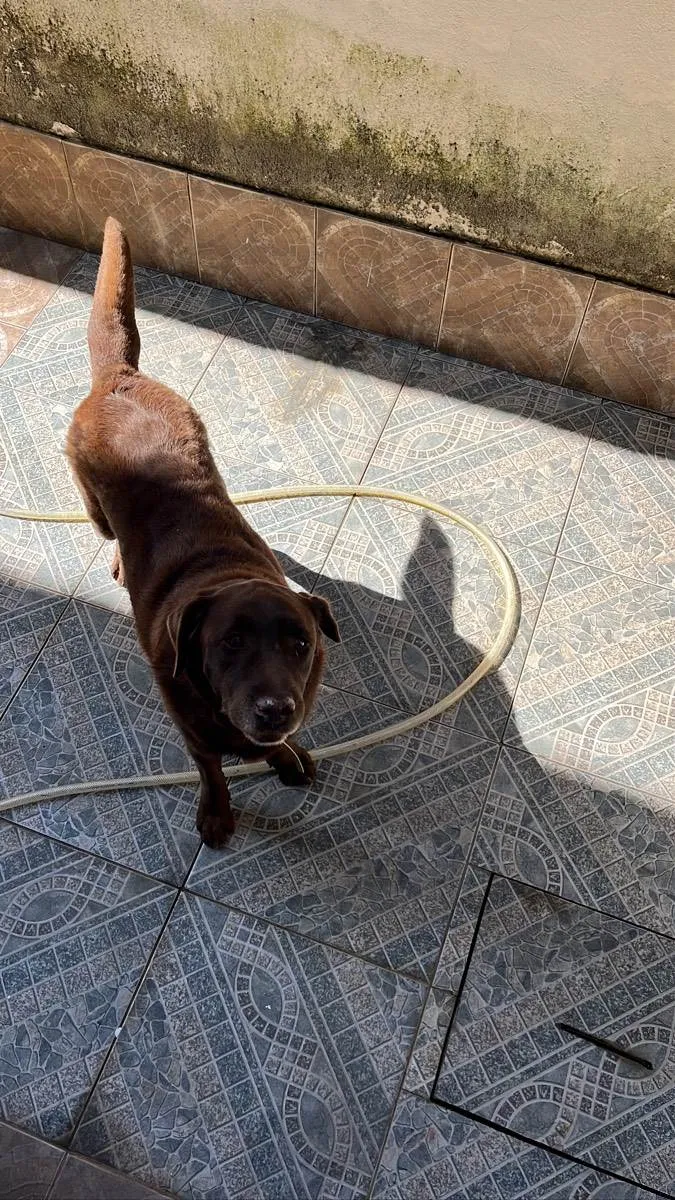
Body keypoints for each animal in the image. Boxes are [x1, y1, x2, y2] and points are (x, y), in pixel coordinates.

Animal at [66, 220, 338, 849]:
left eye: (301, 645)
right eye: (229, 643)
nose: (275, 709)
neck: (224, 571)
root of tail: (120, 378)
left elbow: (274, 750)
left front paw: (287, 757)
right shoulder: (192, 730)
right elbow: (212, 770)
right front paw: (217, 814)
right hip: (91, 504)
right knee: (107, 530)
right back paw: (119, 559)